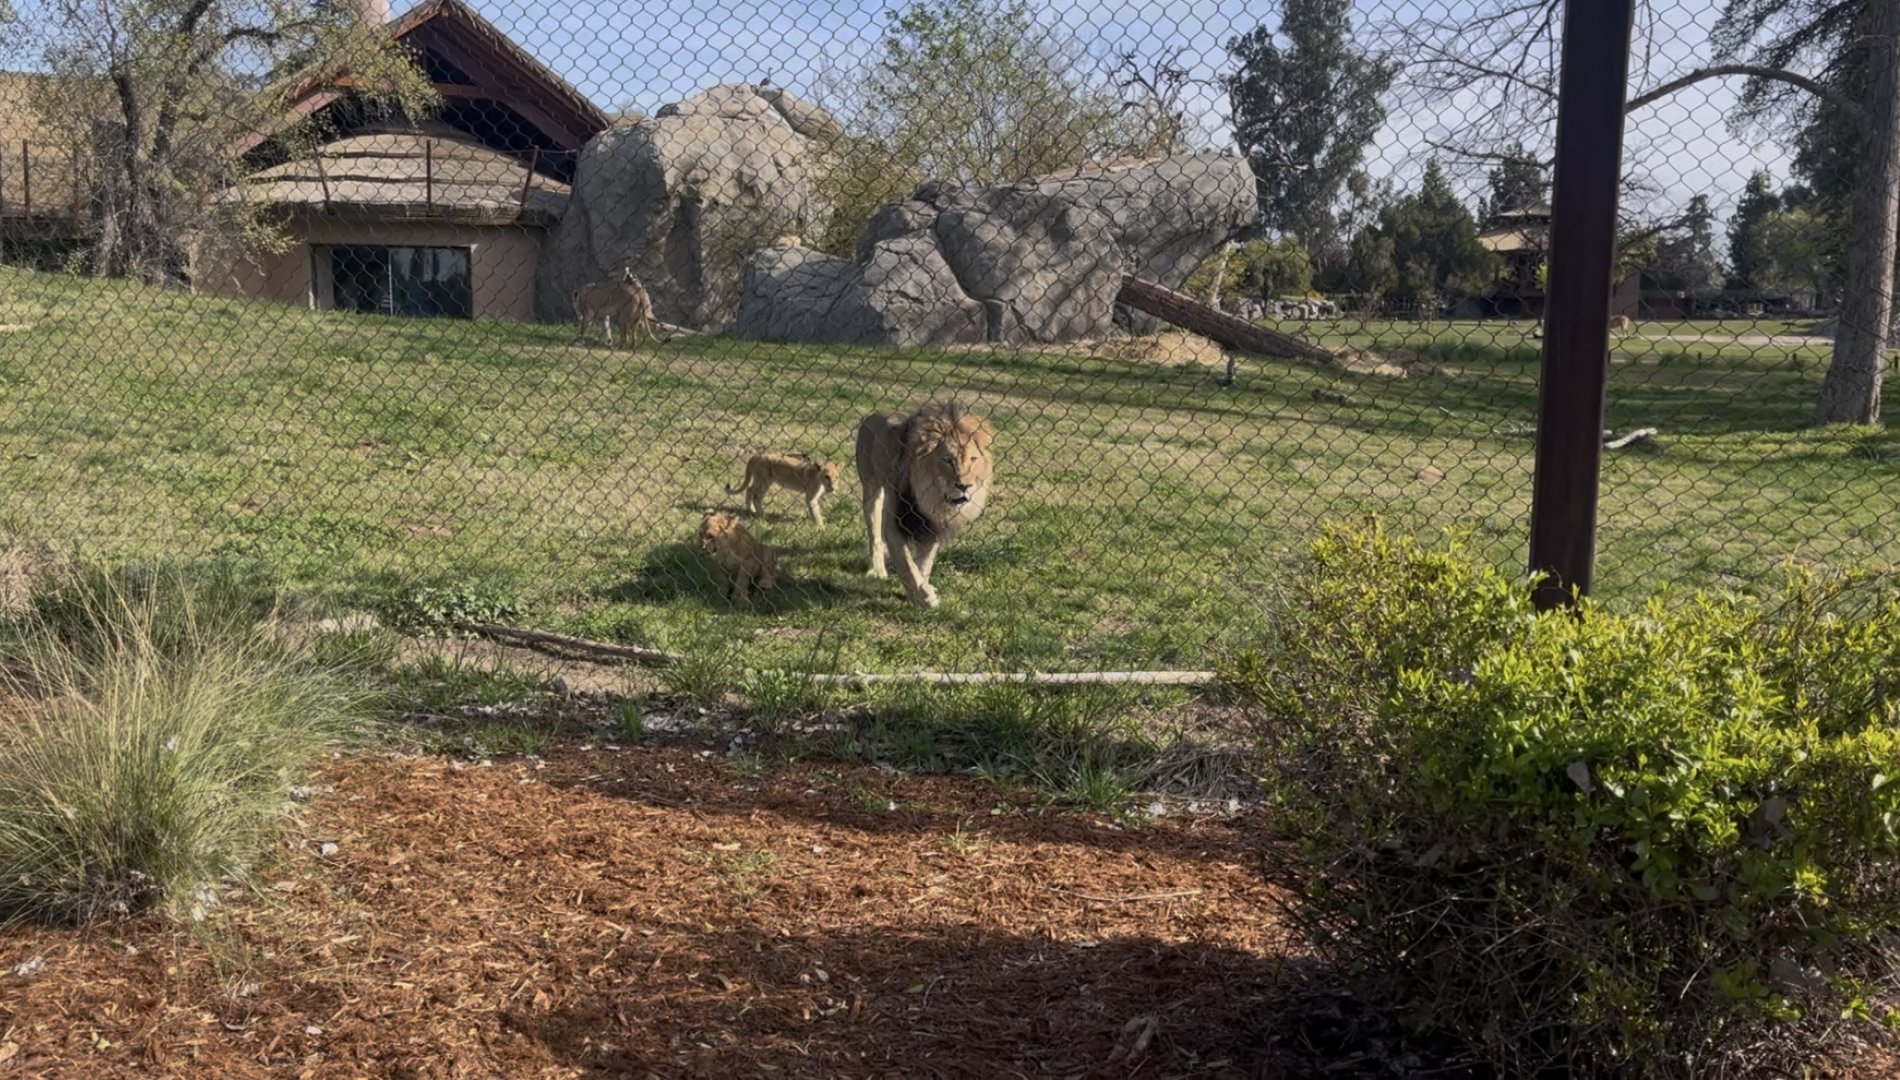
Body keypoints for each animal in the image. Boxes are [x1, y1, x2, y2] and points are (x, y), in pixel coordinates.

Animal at [855, 401, 993, 609]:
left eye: (973, 459)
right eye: (947, 460)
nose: (964, 486)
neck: (930, 498)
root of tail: (874, 414)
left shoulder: (932, 527)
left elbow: (923, 565)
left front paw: (920, 591)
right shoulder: (894, 524)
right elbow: (907, 564)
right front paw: (925, 597)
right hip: (871, 488)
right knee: (875, 535)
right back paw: (878, 571)